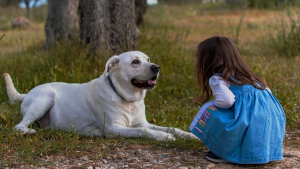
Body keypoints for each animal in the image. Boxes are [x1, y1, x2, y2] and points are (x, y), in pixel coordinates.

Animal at [4, 50, 198, 141]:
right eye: (135, 62)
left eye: (148, 60)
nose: (156, 67)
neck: (127, 99)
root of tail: (26, 94)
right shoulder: (114, 128)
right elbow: (143, 131)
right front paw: (164, 137)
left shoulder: (143, 122)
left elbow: (170, 128)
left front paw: (188, 135)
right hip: (44, 99)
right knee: (18, 126)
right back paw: (28, 132)